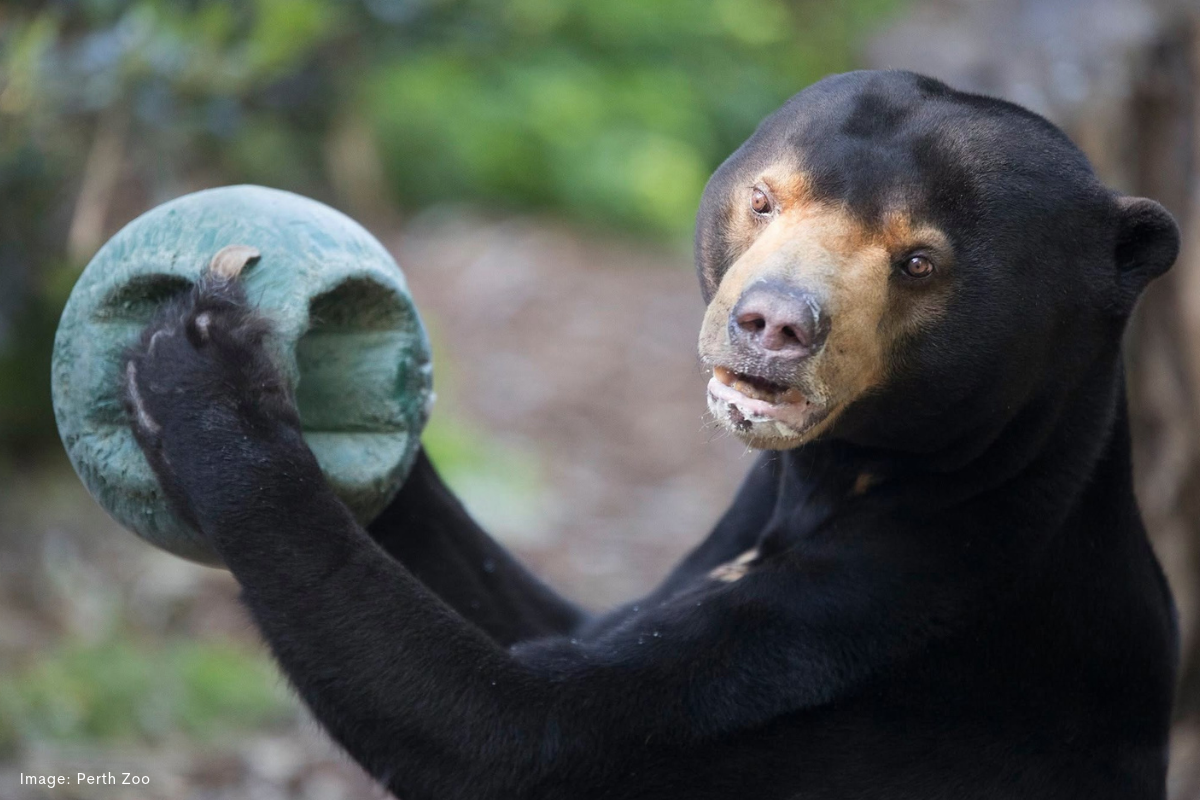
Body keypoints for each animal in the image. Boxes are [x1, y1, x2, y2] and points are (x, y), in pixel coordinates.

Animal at [122, 69, 1180, 799]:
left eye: (920, 262)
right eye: (764, 198)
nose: (771, 323)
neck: (852, 477)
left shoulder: (871, 623)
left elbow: (508, 725)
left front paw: (205, 369)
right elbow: (543, 622)